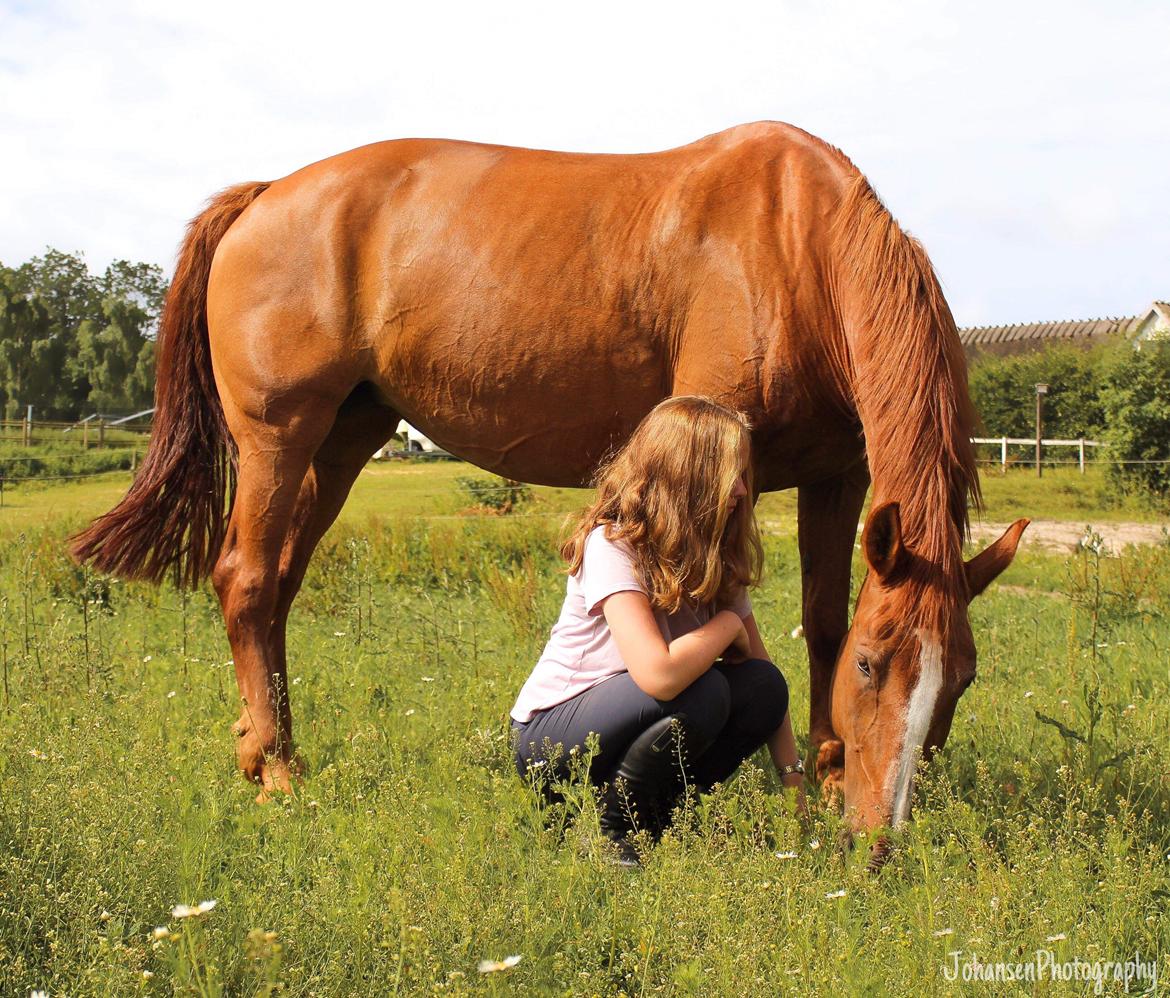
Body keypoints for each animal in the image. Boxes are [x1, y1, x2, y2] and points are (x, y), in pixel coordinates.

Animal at [70, 120, 1024, 828]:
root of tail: (265, 195)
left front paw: (816, 774)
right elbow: (731, 617)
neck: (793, 243)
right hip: (279, 438)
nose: (879, 834)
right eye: (874, 666)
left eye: (963, 676)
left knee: (276, 590)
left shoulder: (839, 478)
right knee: (246, 580)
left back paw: (263, 747)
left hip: (343, 440)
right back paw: (276, 769)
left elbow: (819, 617)